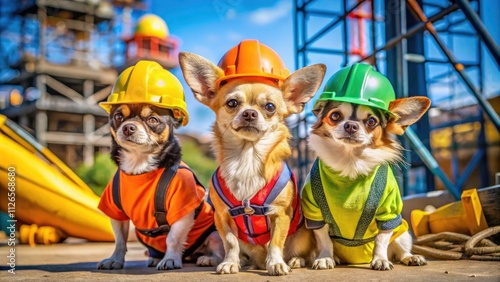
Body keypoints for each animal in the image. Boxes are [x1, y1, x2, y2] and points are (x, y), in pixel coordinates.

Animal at [96, 61, 224, 270]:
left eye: (152, 120)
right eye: (118, 117)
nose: (128, 127)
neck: (140, 165)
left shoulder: (183, 210)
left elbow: (173, 238)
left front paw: (171, 259)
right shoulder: (116, 213)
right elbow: (120, 240)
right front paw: (115, 259)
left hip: (213, 233)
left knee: (217, 248)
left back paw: (208, 259)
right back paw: (155, 258)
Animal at [178, 41, 326, 276]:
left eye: (270, 107)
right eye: (232, 103)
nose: (249, 113)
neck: (247, 159)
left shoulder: (280, 215)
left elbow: (275, 242)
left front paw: (276, 263)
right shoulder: (222, 218)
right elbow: (230, 242)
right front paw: (230, 262)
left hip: (302, 235)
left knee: (298, 251)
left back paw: (294, 260)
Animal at [300, 62, 430, 270]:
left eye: (371, 121)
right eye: (335, 116)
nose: (351, 125)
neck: (350, 162)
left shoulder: (388, 212)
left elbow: (381, 240)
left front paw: (380, 259)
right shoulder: (314, 213)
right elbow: (325, 240)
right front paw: (325, 257)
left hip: (403, 231)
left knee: (400, 248)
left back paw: (410, 257)